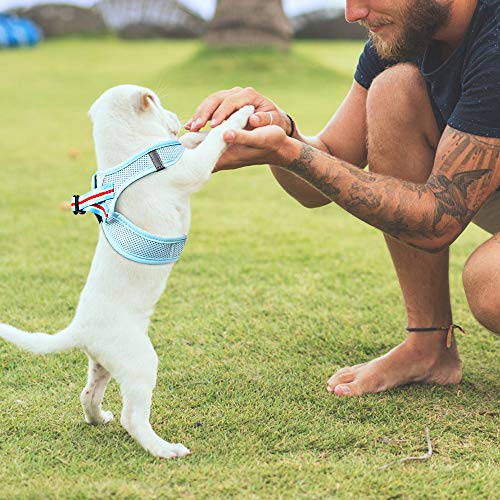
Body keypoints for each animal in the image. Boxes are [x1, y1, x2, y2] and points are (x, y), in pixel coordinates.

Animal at [0, 85, 256, 458]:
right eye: (161, 104)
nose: (180, 118)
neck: (129, 153)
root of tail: (80, 329)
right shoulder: (189, 171)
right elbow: (213, 142)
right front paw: (239, 114)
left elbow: (191, 142)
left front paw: (200, 129)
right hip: (139, 362)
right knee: (132, 417)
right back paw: (164, 449)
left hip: (104, 362)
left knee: (88, 394)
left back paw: (98, 418)